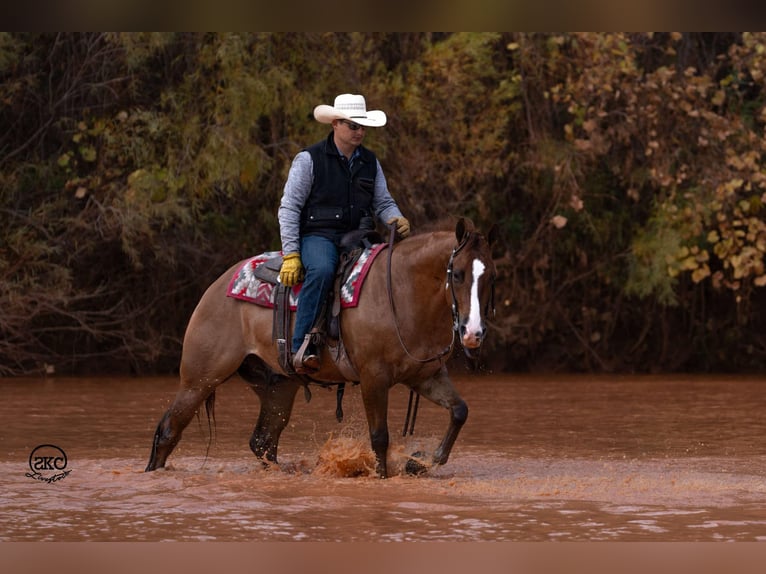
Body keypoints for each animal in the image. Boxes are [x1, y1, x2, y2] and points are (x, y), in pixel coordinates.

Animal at [146, 218, 500, 480]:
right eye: (457, 274)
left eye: (492, 276)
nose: (472, 333)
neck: (402, 293)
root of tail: (216, 287)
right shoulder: (373, 378)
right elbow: (380, 438)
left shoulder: (425, 375)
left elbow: (459, 411)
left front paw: (419, 462)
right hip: (200, 379)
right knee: (169, 431)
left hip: (277, 388)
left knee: (263, 442)